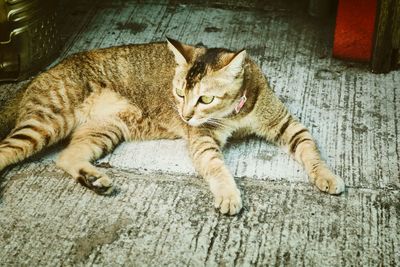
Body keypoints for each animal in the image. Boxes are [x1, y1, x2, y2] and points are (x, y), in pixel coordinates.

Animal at [0, 38, 344, 216]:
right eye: (179, 93)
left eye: (205, 98)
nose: (186, 114)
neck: (234, 115)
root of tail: (40, 74)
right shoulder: (202, 138)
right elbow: (217, 166)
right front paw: (228, 194)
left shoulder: (285, 123)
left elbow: (310, 150)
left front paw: (326, 176)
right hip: (47, 121)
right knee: (7, 150)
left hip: (105, 129)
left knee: (66, 157)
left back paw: (93, 179)